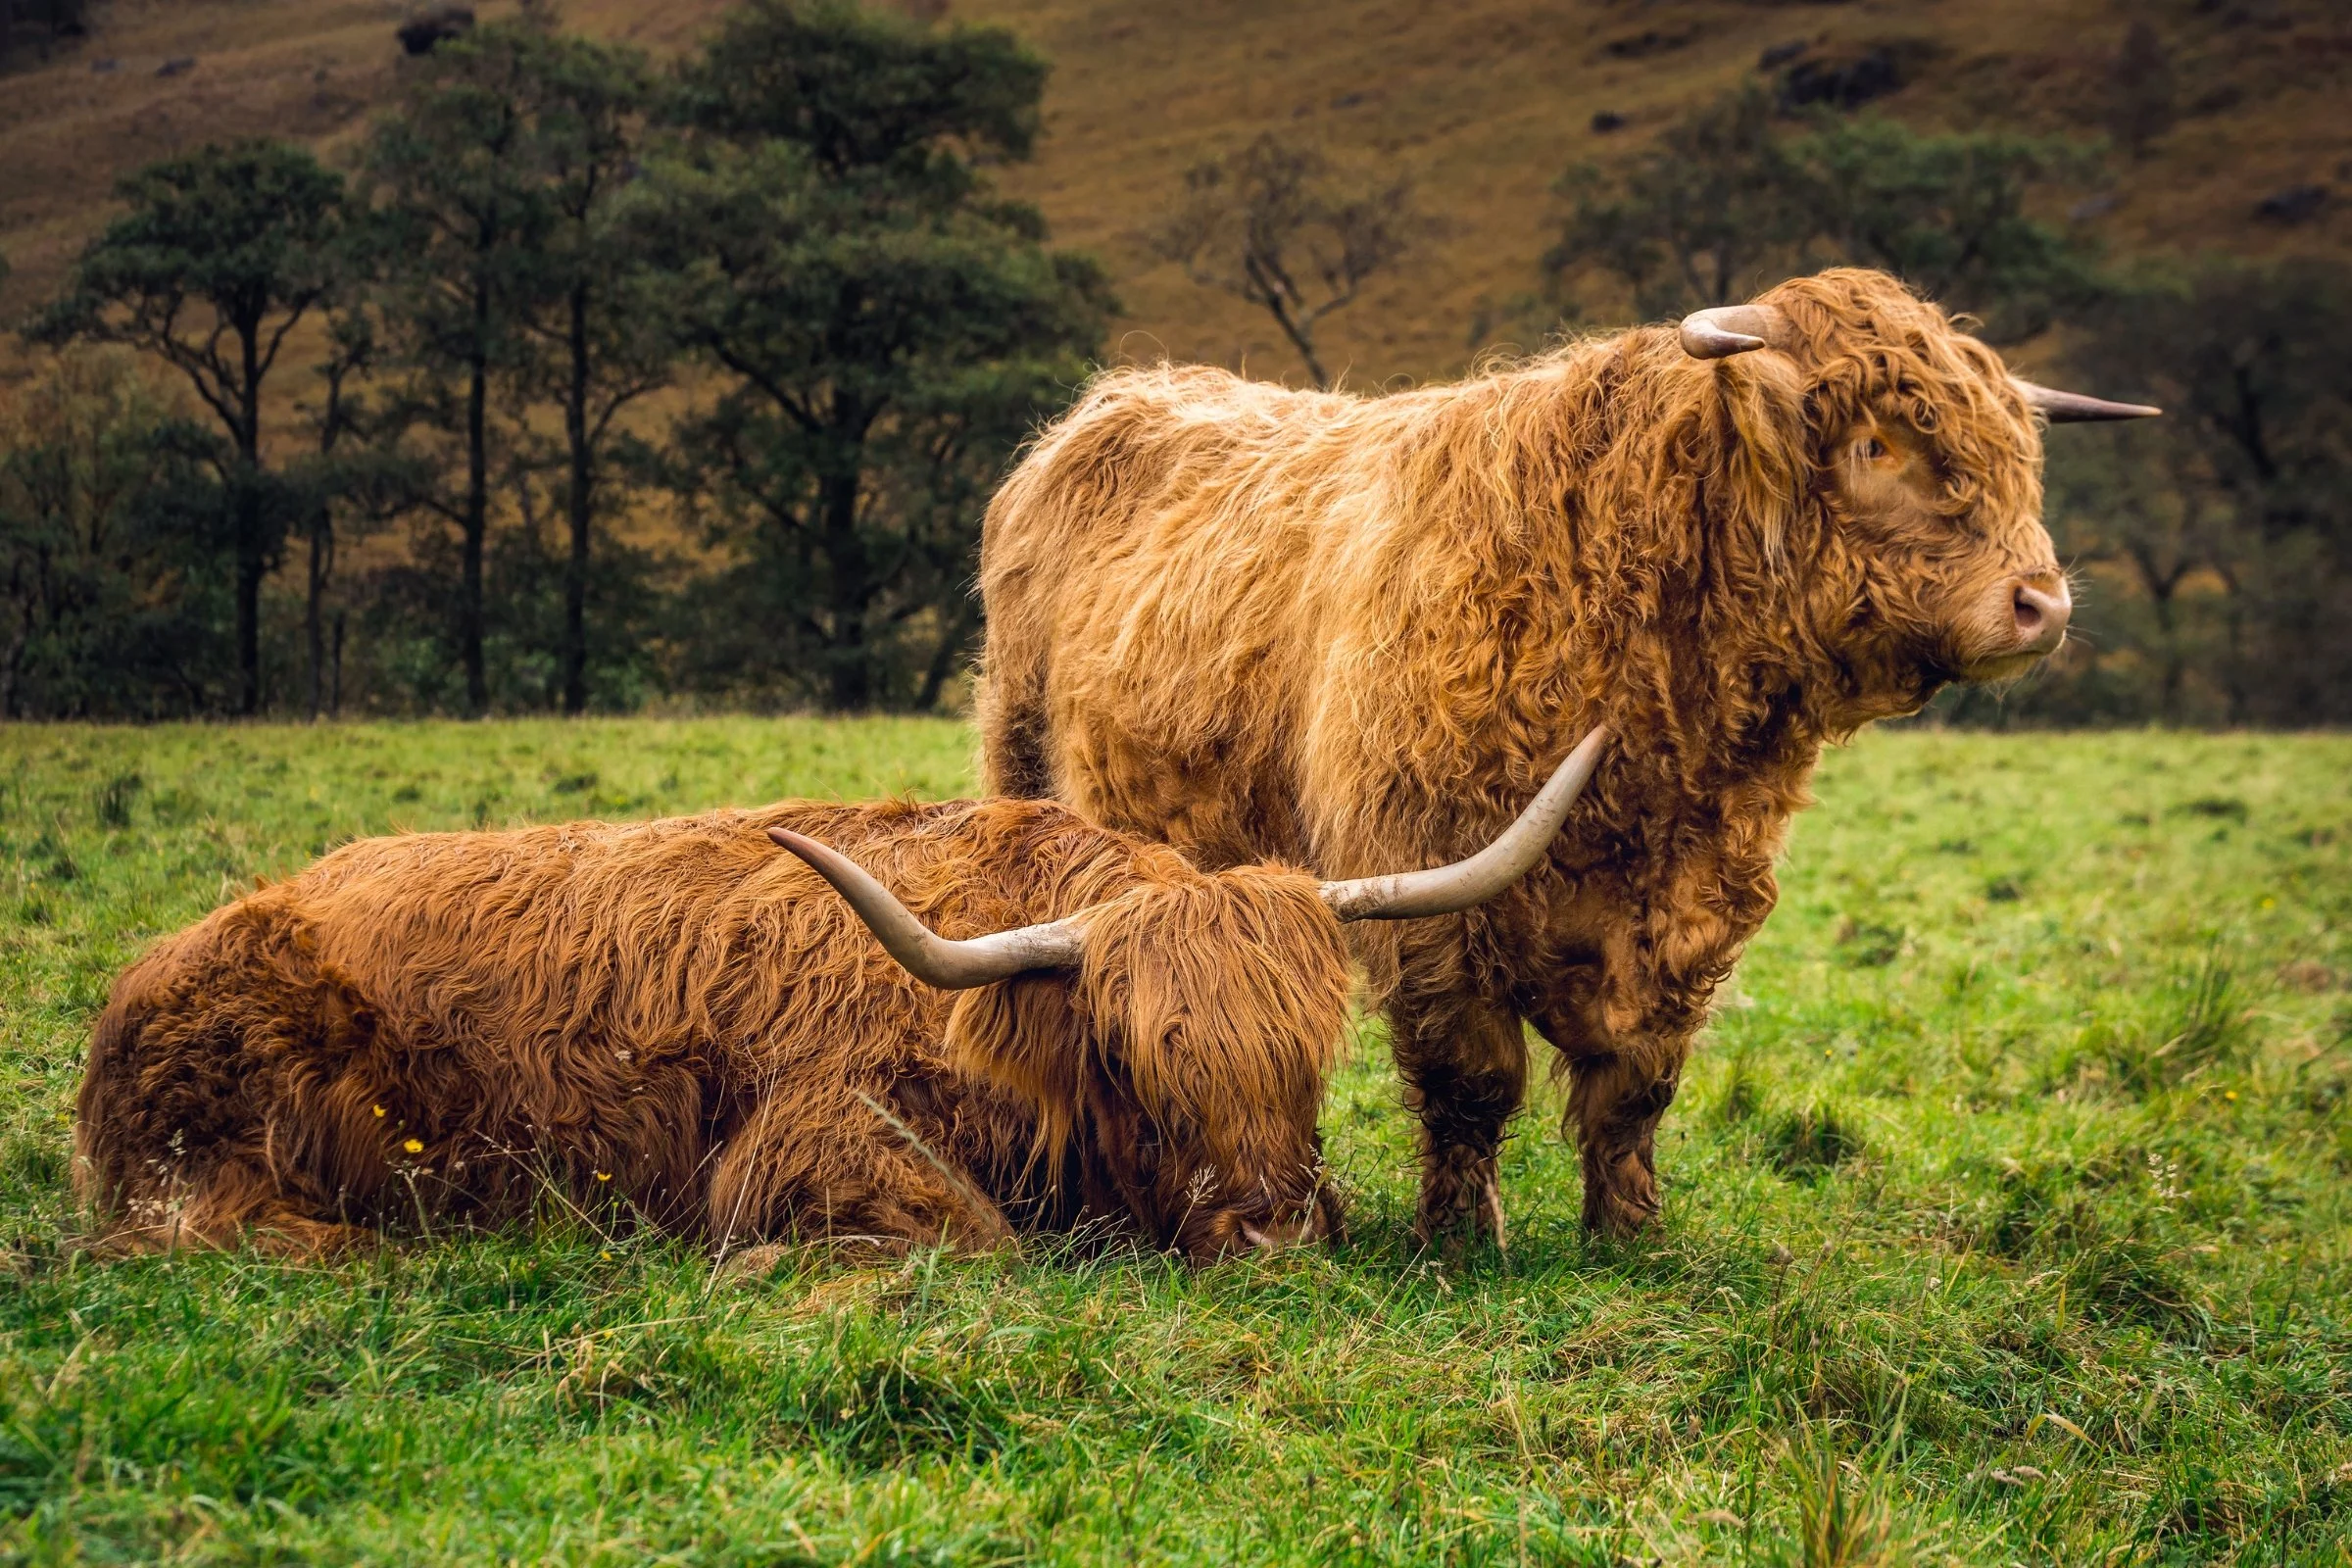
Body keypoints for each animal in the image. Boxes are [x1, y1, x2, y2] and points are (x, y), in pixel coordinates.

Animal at [75, 733, 1604, 1263]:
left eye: (1307, 1053)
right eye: (1130, 1057)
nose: (1274, 1229)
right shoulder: (812, 1131)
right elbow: (971, 1240)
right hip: (224, 1153)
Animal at [975, 266, 2158, 1243]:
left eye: (2017, 451)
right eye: (1878, 444)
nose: (2042, 603)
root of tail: (1129, 393)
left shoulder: (1695, 903)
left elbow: (1637, 1085)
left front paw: (1629, 1236)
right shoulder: (1428, 887)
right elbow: (1470, 1079)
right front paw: (1460, 1241)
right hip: (1023, 760)